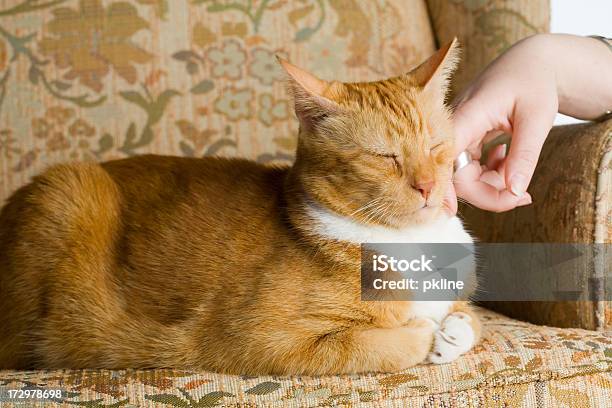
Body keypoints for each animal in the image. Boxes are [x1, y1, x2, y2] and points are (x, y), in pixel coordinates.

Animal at [0, 39, 478, 374]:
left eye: (435, 146)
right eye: (384, 157)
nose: (427, 187)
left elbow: (469, 320)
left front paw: (453, 332)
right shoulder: (258, 340)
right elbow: (374, 344)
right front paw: (424, 334)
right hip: (69, 192)